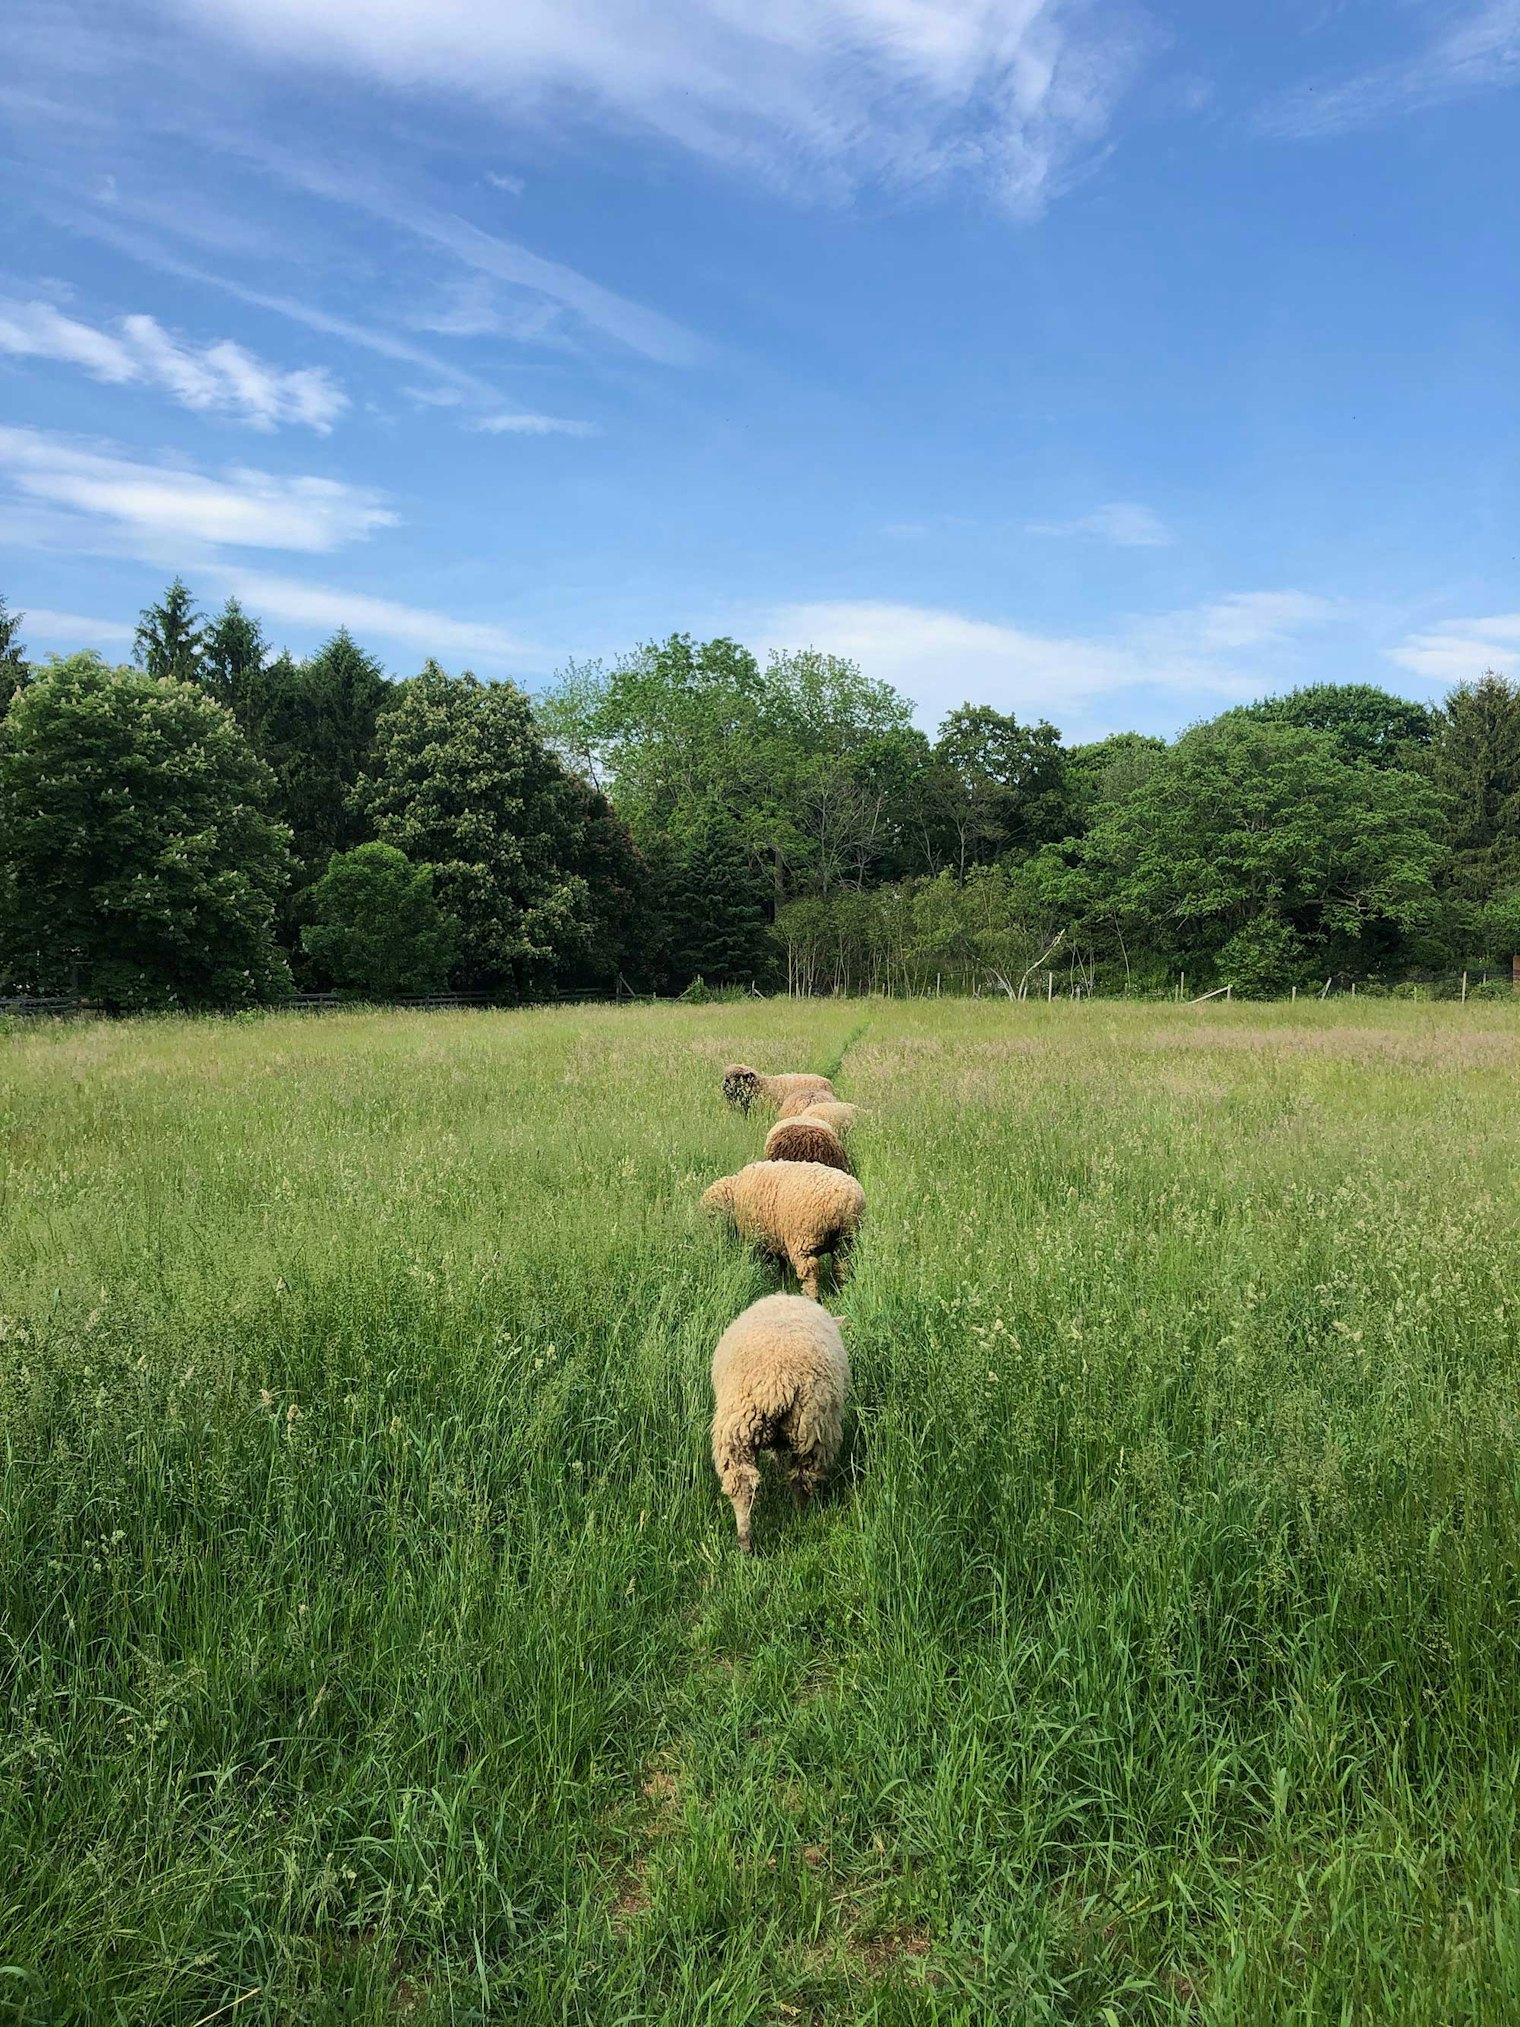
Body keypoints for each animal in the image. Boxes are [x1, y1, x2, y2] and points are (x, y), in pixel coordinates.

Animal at [701, 1160, 864, 1301]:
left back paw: (811, 1297)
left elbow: (763, 1262)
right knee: (841, 1266)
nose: (711, 1242)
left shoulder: (759, 1240)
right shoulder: (775, 1237)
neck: (735, 1196)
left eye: (711, 1216)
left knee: (810, 1272)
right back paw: (841, 1292)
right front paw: (782, 1278)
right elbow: (782, 1261)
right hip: (846, 1240)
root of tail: (844, 1201)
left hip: (804, 1241)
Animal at [710, 1293, 849, 1553]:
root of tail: (776, 1381)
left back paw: (751, 1539)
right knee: (799, 1478)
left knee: (748, 1484)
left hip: (742, 1432)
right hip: (810, 1429)